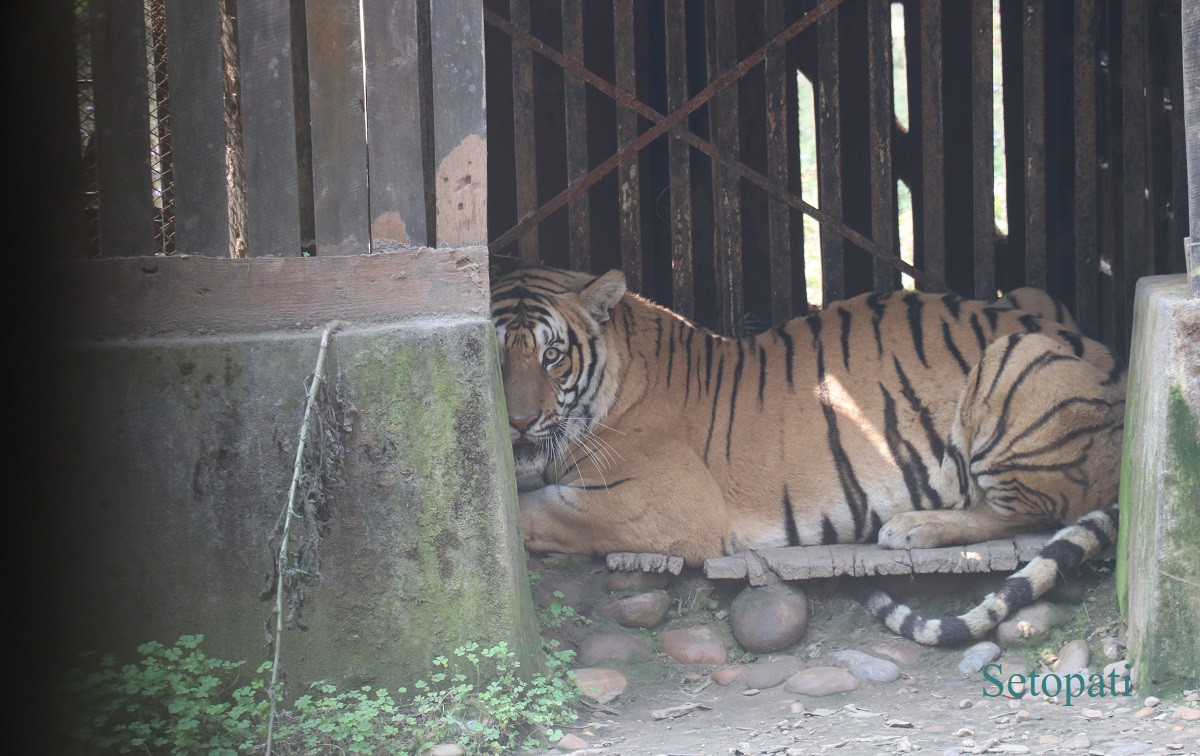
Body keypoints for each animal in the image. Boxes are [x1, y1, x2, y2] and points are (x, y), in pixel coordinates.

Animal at [492, 265, 1128, 648]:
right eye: (493, 357)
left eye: (552, 356)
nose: (517, 424)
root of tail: (1120, 366)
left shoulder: (653, 507)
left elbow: (531, 516)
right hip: (1030, 301)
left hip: (1018, 353)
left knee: (1027, 512)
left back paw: (914, 527)